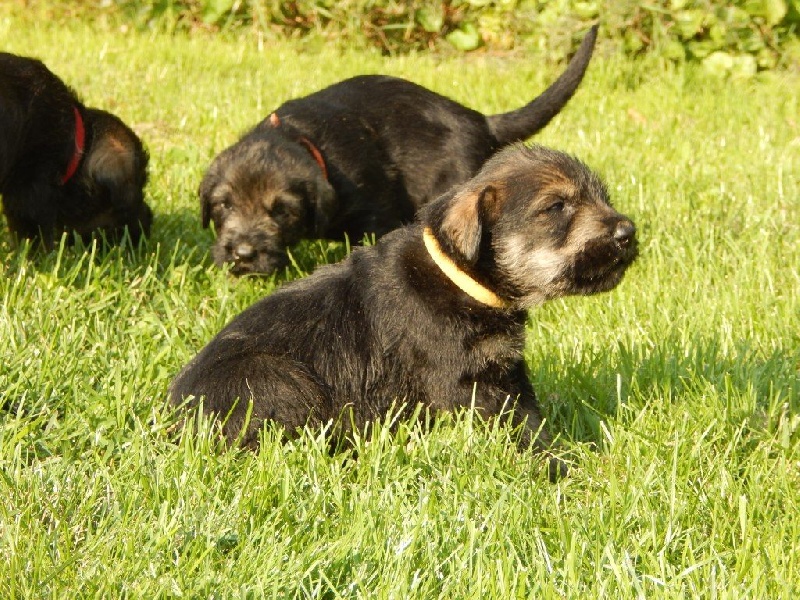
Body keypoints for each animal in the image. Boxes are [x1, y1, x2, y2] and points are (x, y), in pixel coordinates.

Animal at [171, 144, 638, 480]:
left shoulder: (505, 371)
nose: (627, 232)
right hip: (278, 381)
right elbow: (521, 429)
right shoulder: (468, 384)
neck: (459, 276)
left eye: (603, 198)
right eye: (556, 207)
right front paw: (558, 466)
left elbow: (531, 415)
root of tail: (172, 423)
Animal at [200, 25, 598, 275]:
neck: (308, 142)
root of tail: (481, 121)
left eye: (282, 211)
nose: (242, 255)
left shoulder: (374, 215)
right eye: (223, 205)